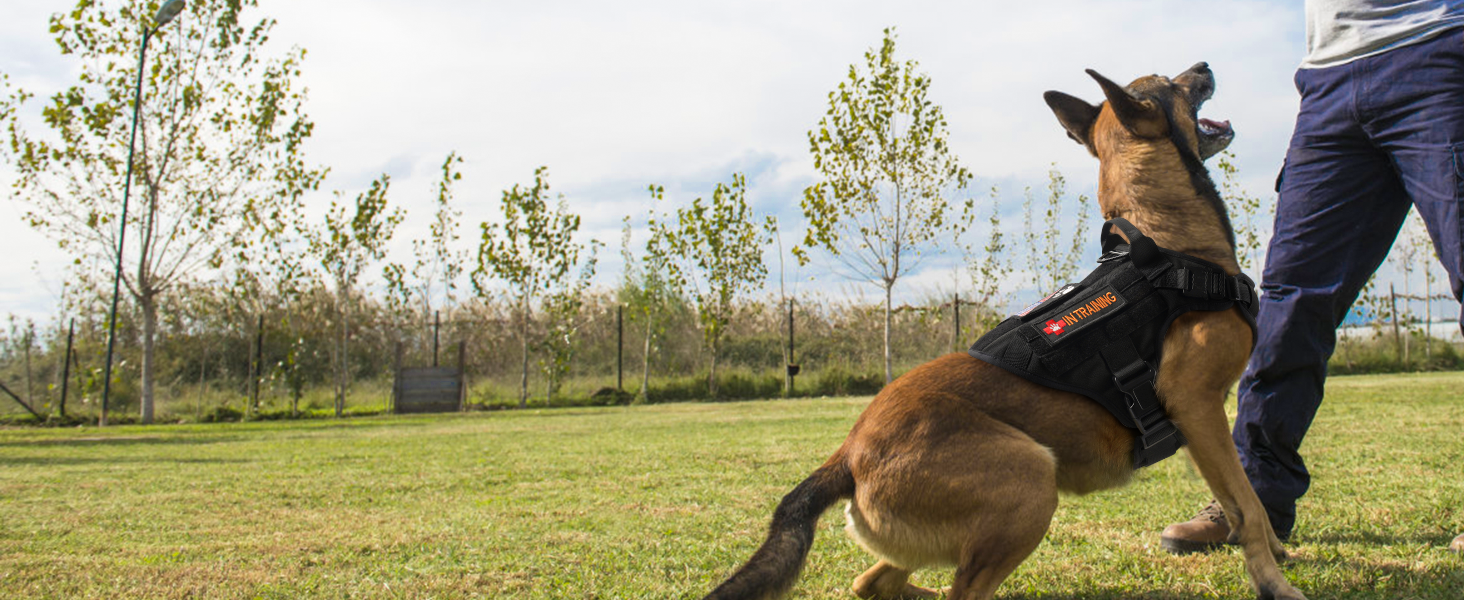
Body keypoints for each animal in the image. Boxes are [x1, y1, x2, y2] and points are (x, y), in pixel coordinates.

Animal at [696, 62, 1305, 600]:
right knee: (956, 592)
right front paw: (1273, 582)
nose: (1203, 65)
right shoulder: (1196, 408)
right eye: (1170, 82)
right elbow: (1247, 507)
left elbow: (1245, 501)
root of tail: (846, 455)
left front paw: (1275, 555)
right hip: (1031, 482)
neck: (1165, 249)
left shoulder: (1203, 426)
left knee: (871, 582)